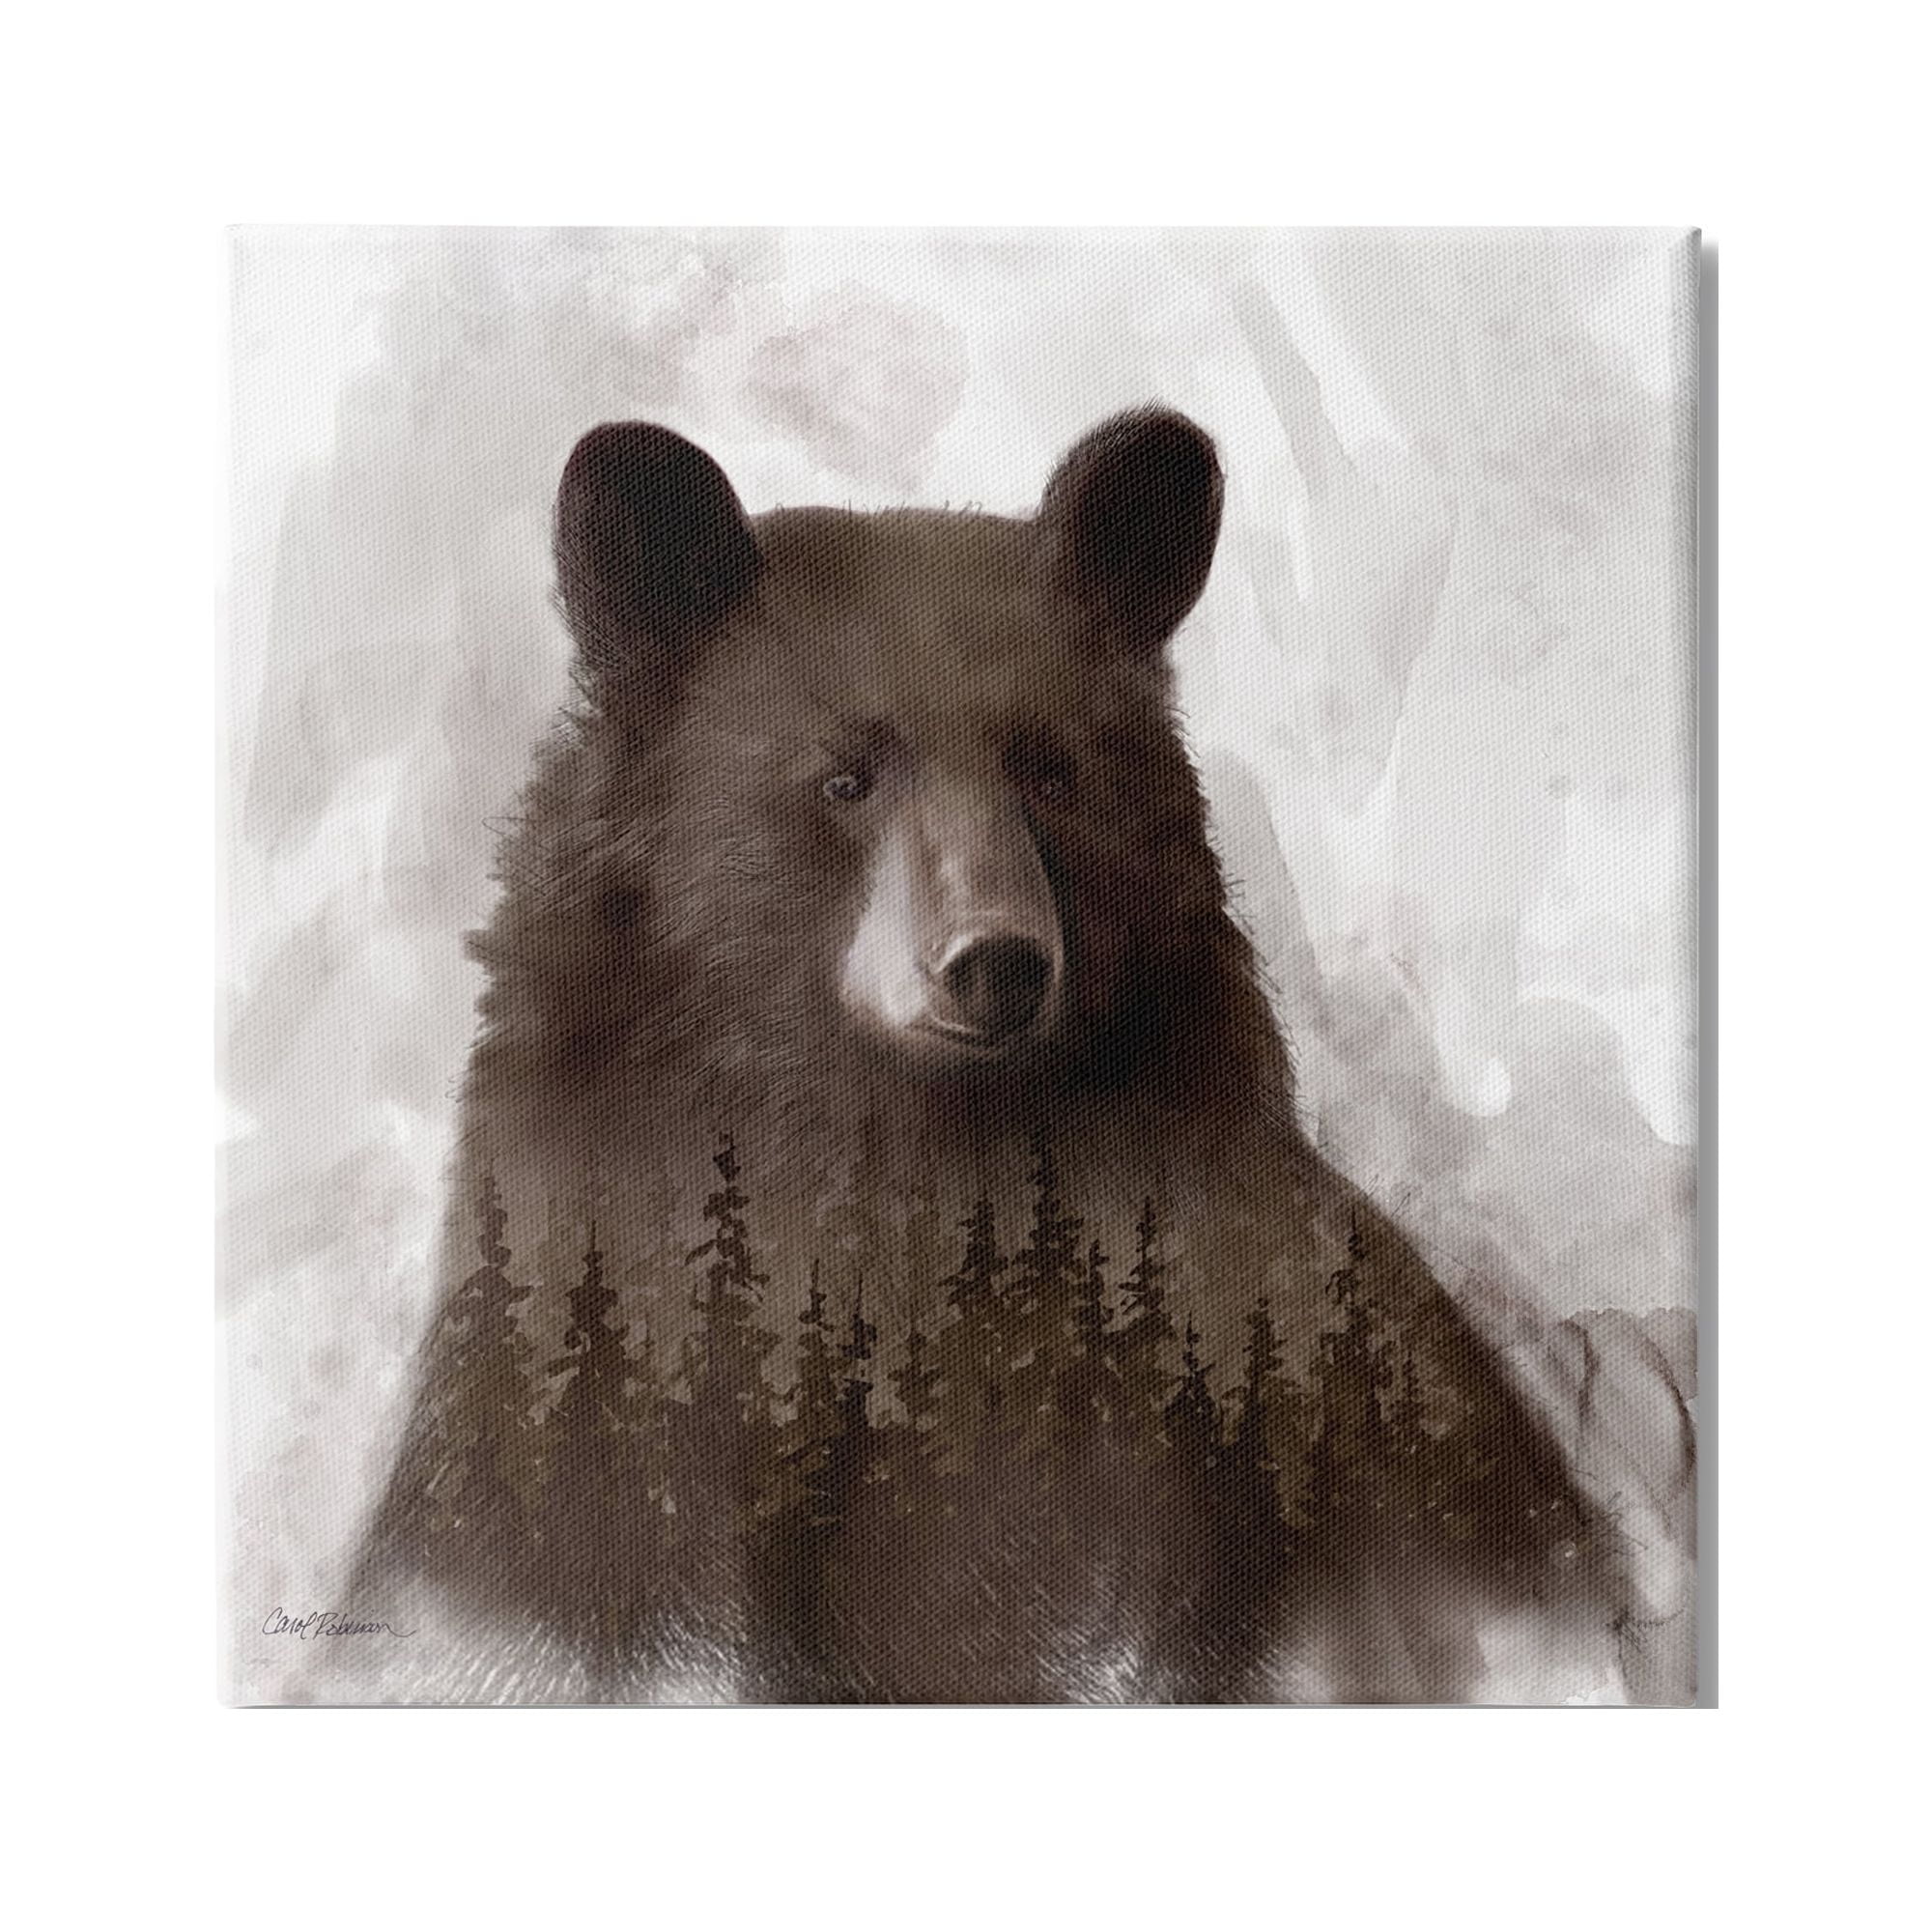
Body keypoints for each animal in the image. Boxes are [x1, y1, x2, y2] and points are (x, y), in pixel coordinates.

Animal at [348, 409, 1633, 1705]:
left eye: (1050, 769)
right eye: (845, 775)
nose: (996, 962)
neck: (899, 1180)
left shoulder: (1180, 1404)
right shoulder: (588, 1361)